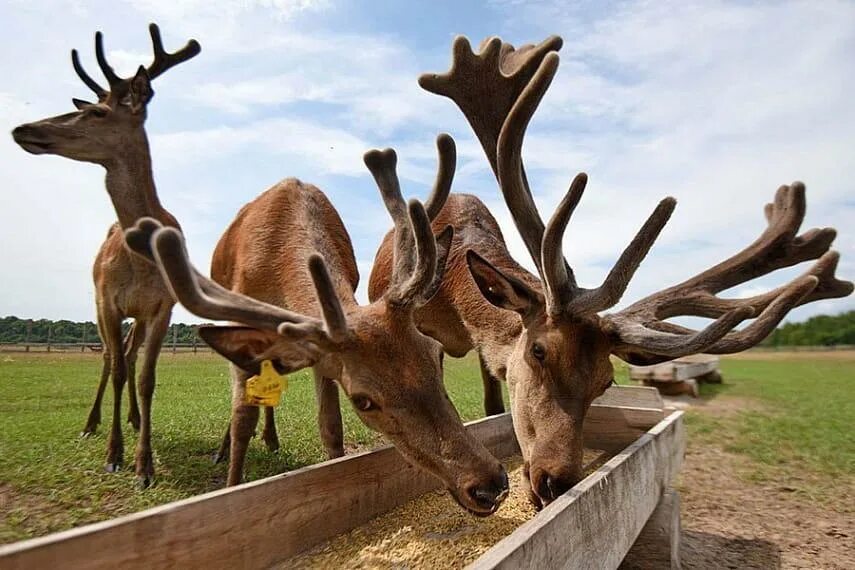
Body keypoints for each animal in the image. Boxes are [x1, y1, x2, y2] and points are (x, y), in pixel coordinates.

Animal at [11, 26, 207, 486]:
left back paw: (135, 419)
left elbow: (147, 376)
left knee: (130, 358)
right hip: (99, 306)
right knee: (107, 359)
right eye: (89, 107)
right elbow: (116, 370)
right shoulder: (108, 302)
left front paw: (144, 463)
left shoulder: (162, 307)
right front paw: (114, 455)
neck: (144, 259)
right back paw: (91, 424)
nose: (23, 128)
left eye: (99, 114)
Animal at [123, 142, 512, 516]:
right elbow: (243, 417)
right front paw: (232, 485)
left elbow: (331, 428)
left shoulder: (323, 355)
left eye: (434, 355)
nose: (488, 484)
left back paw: (272, 439)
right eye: (364, 400)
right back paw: (224, 448)